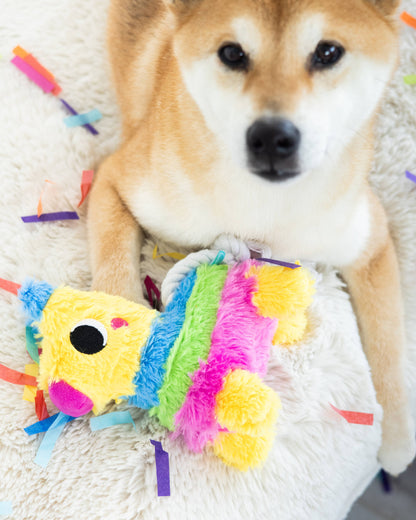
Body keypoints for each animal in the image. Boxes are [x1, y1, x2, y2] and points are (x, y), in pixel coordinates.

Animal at [86, 0, 414, 476]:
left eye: (328, 52)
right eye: (232, 54)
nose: (272, 137)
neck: (265, 209)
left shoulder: (367, 240)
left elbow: (390, 345)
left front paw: (397, 437)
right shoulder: (116, 179)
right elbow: (114, 273)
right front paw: (113, 355)